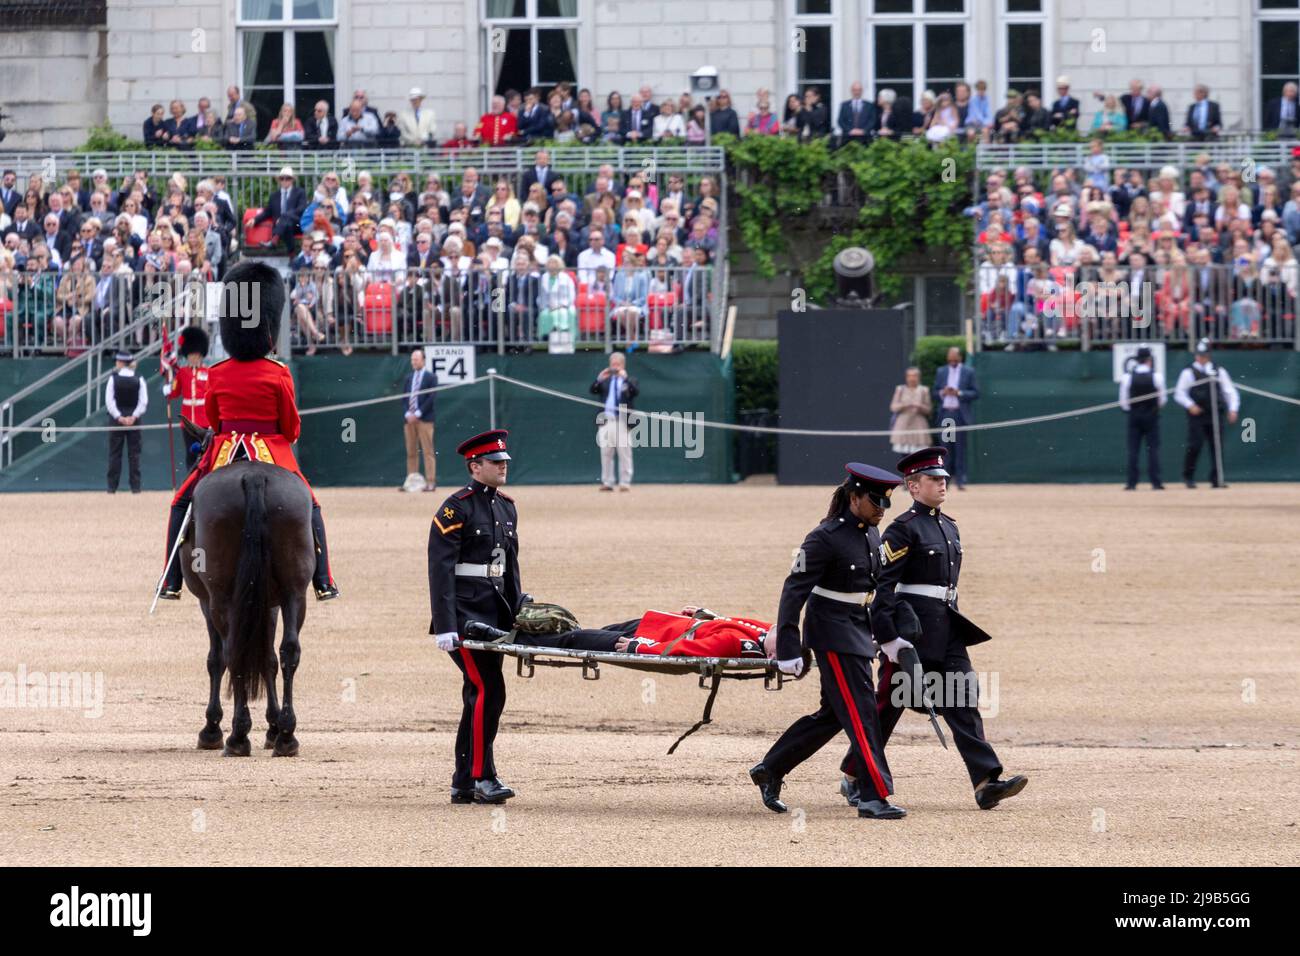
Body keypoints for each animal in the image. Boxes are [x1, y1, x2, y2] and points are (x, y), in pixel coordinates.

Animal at [182, 460, 313, 759]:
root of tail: (254, 475)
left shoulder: (208, 601)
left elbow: (216, 659)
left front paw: (211, 729)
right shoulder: (270, 605)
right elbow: (269, 659)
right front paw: (274, 728)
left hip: (220, 600)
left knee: (233, 651)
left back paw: (237, 737)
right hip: (295, 593)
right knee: (290, 650)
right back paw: (287, 736)